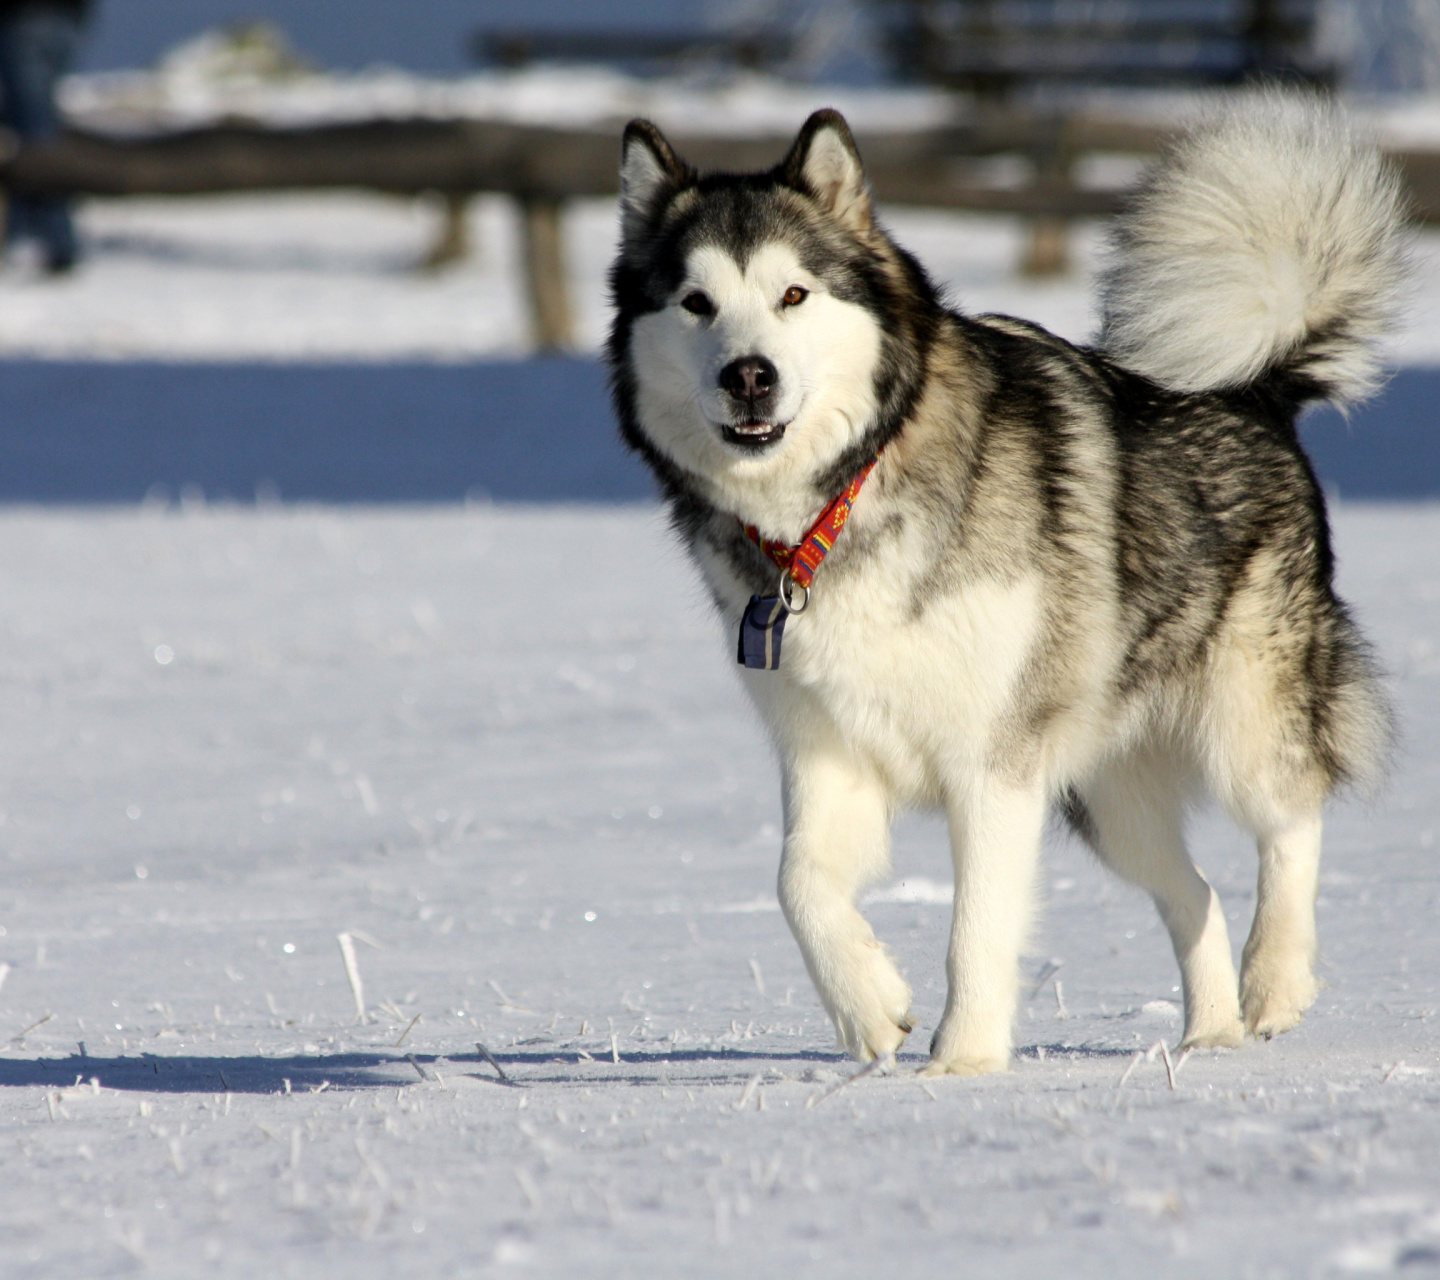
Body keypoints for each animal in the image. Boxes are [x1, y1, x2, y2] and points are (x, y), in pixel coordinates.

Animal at [604, 97, 1393, 1071]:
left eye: (794, 294)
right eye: (696, 302)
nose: (748, 374)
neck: (839, 504)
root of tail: (1255, 392)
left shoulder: (993, 764)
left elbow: (976, 927)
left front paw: (963, 1065)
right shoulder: (827, 751)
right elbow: (796, 884)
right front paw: (870, 1009)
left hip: (1244, 716)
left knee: (1292, 818)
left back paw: (1274, 979)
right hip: (1107, 797)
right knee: (1193, 892)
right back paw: (1210, 1035)